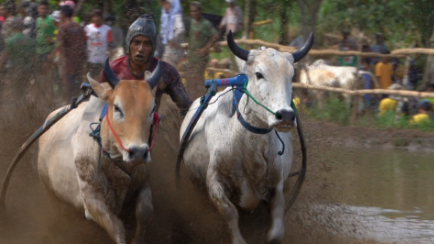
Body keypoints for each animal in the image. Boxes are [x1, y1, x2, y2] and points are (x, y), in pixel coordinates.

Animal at [180, 31, 314, 244]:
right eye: (259, 74)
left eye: (291, 76)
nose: (285, 116)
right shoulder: (213, 181)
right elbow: (229, 211)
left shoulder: (277, 184)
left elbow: (276, 225)